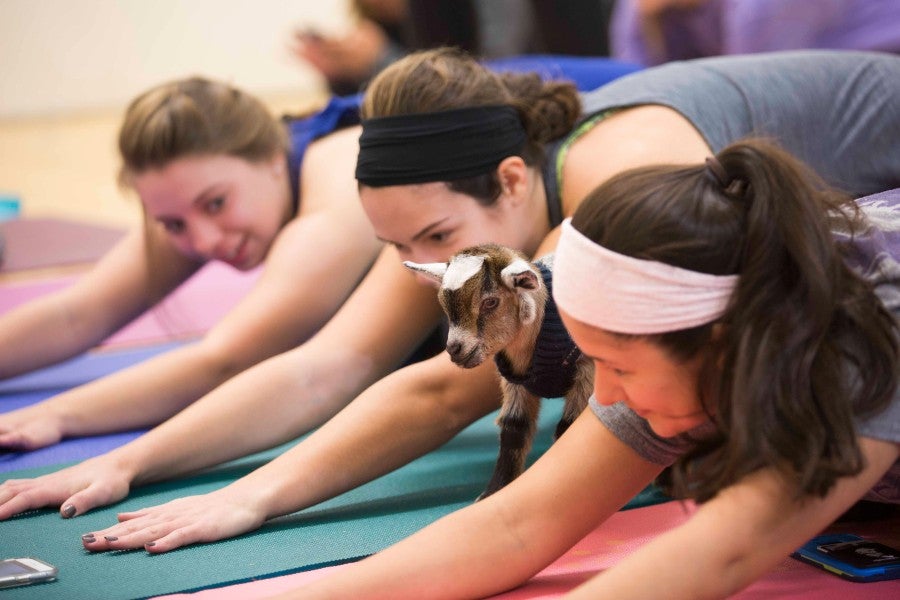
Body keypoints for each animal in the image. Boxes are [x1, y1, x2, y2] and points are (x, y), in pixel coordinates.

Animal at [404, 244, 596, 502]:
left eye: (491, 302)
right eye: (443, 304)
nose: (454, 349)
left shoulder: (587, 373)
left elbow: (568, 428)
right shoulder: (515, 383)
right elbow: (514, 428)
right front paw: (494, 492)